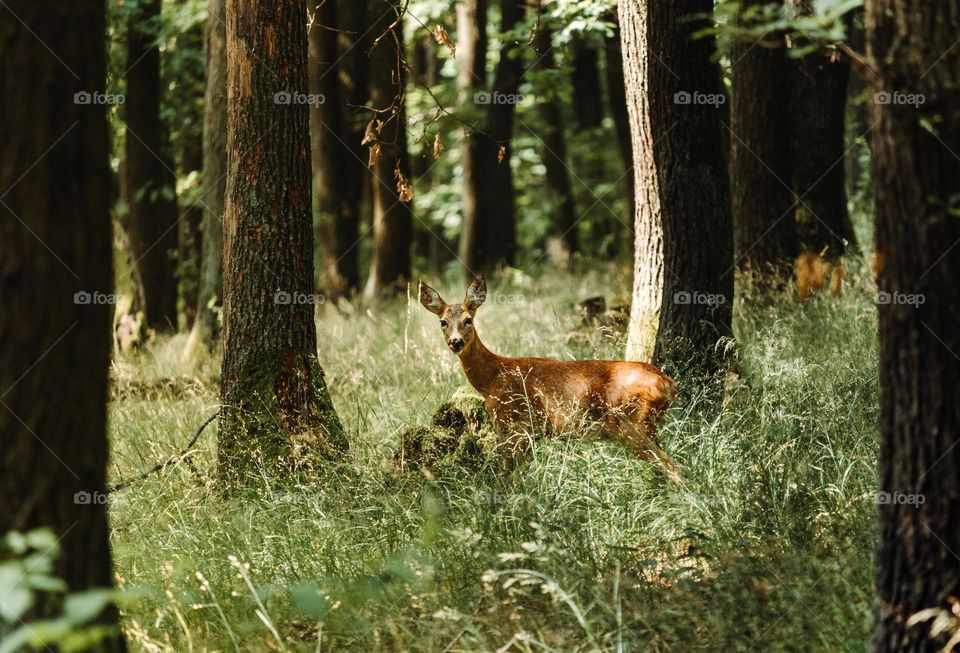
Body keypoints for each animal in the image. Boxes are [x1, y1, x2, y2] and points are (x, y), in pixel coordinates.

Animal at [418, 276, 681, 483]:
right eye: (443, 322)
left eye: (468, 320)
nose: (455, 342)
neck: (492, 377)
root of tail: (669, 384)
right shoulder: (529, 434)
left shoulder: (516, 427)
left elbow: (506, 479)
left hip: (634, 425)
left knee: (671, 466)